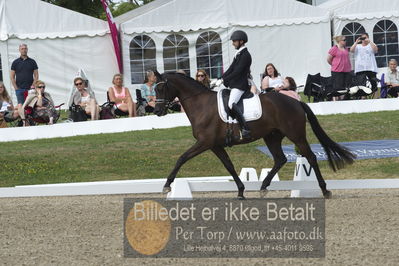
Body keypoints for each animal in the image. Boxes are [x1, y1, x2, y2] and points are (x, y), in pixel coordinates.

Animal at [154, 71, 356, 198]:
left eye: (161, 88)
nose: (157, 111)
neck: (200, 104)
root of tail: (296, 102)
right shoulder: (215, 145)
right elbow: (229, 166)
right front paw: (241, 191)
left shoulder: (205, 142)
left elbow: (181, 158)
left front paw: (166, 185)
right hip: (272, 136)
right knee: (280, 159)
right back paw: (263, 187)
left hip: (296, 135)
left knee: (310, 157)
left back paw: (325, 190)